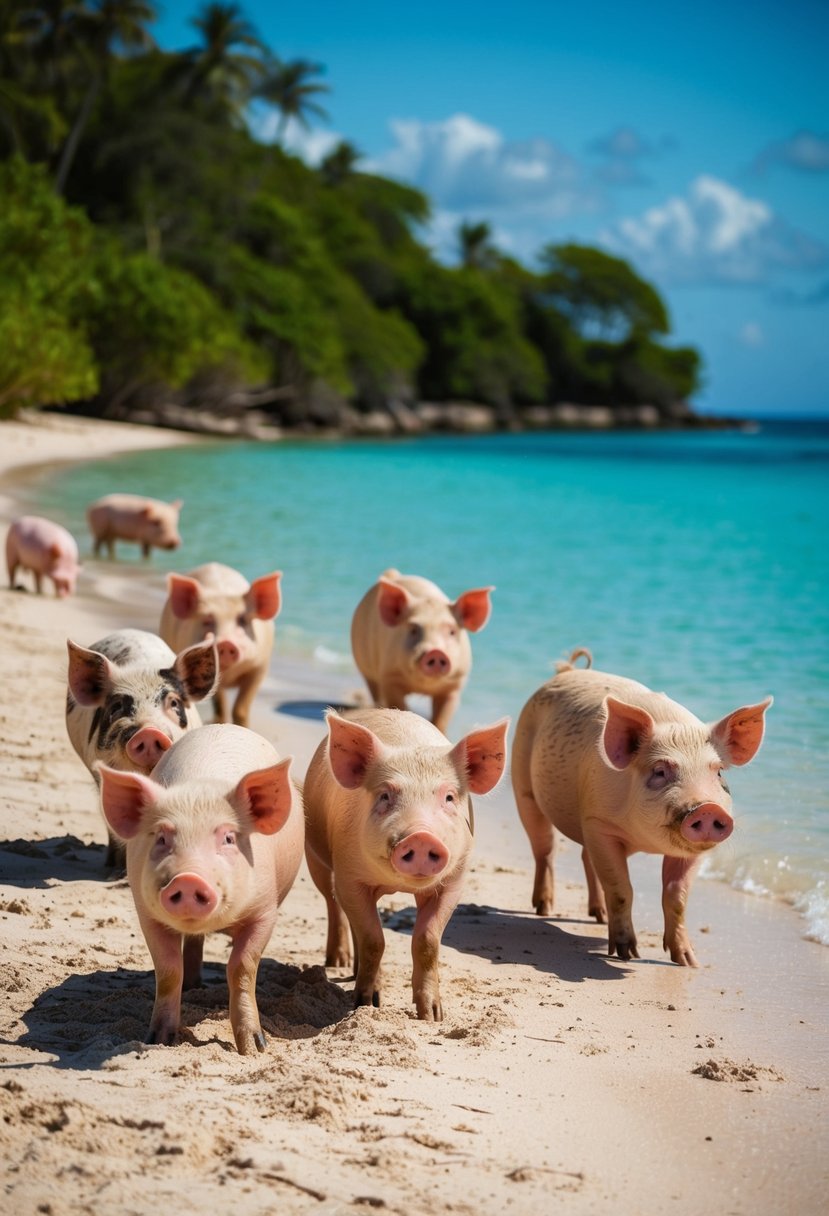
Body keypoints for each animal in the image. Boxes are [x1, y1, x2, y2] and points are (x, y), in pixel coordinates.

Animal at [98, 724, 304, 1054]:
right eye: (161, 838)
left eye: (229, 838)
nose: (188, 878)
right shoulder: (146, 914)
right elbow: (168, 970)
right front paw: (157, 1040)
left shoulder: (265, 911)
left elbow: (242, 967)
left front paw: (254, 1048)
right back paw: (194, 985)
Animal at [159, 562, 282, 728]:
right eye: (207, 621)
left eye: (242, 620)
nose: (225, 642)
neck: (230, 674)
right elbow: (220, 701)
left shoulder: (260, 667)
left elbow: (241, 707)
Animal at [304, 707, 509, 1019]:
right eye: (385, 795)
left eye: (449, 797)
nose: (421, 836)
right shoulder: (350, 876)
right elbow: (374, 940)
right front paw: (364, 1004)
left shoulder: (454, 881)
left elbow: (427, 941)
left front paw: (433, 1015)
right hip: (315, 853)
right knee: (332, 902)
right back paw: (338, 962)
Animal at [350, 569, 494, 735]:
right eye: (413, 630)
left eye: (452, 631)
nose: (436, 652)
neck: (423, 686)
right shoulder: (390, 676)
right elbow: (398, 705)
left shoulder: (454, 685)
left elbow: (441, 718)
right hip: (365, 667)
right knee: (374, 690)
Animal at [511, 650, 773, 967]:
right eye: (660, 771)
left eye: (718, 772)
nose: (707, 808)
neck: (645, 841)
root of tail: (566, 671)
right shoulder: (599, 823)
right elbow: (622, 889)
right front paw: (627, 954)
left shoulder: (688, 851)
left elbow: (676, 896)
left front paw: (688, 961)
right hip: (523, 783)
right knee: (545, 848)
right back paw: (545, 909)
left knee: (585, 857)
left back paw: (598, 917)